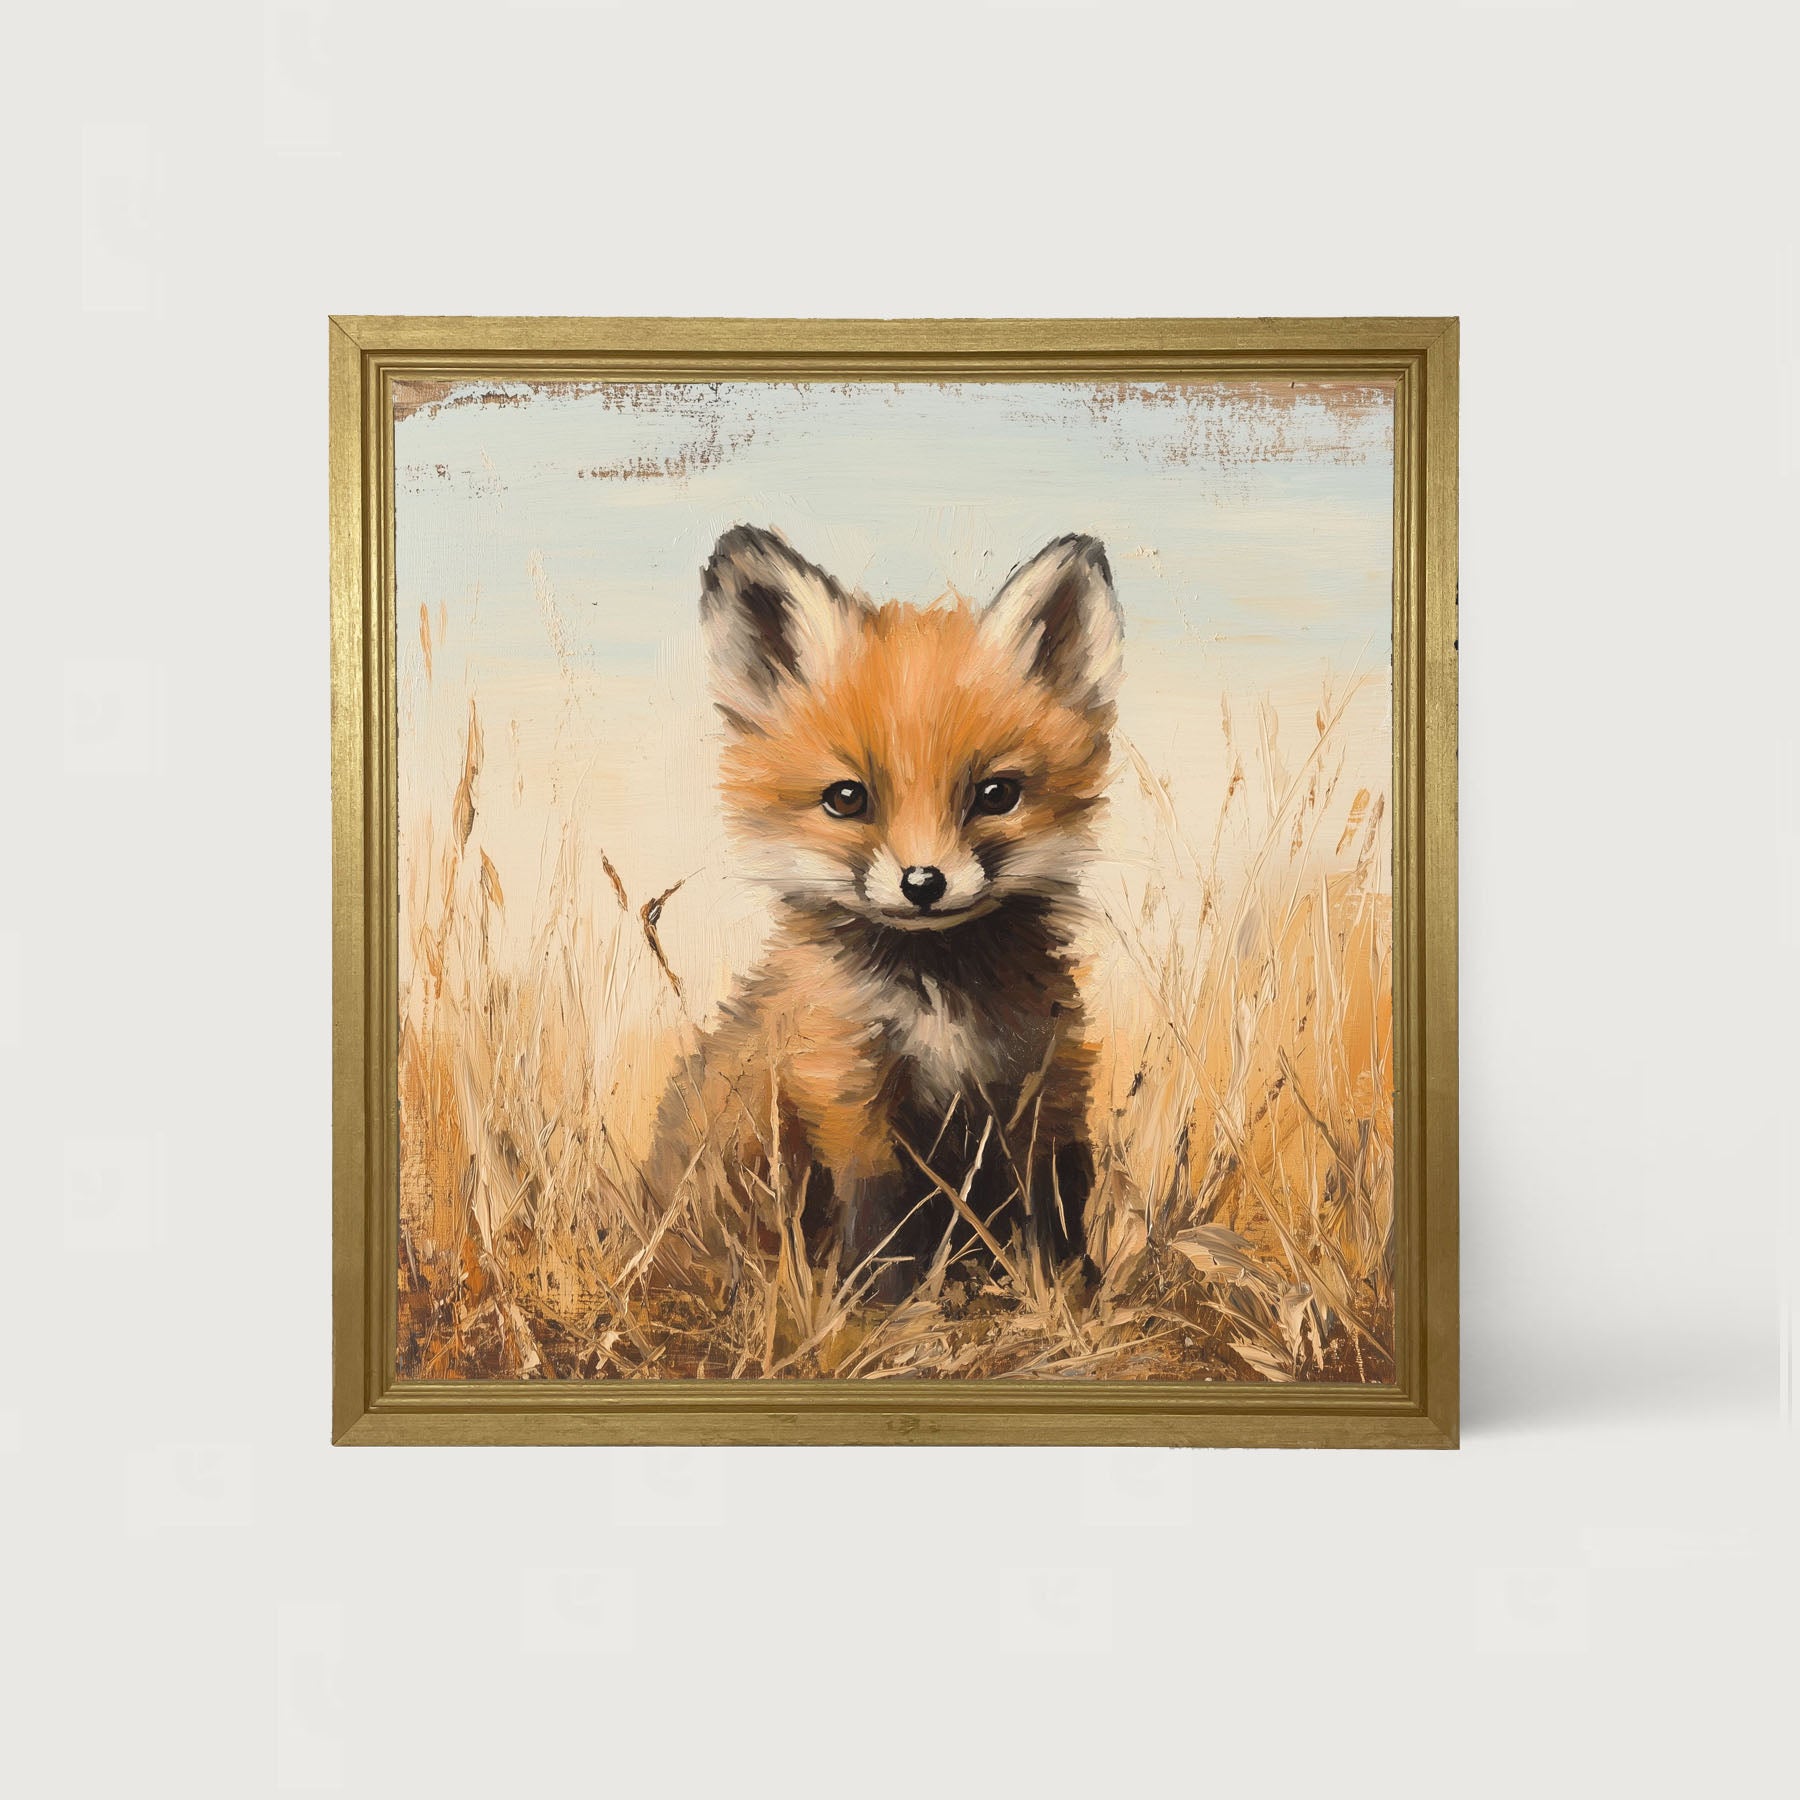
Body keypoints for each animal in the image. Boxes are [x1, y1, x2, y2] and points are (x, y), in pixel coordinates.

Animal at [648, 522, 1123, 1302]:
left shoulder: (1040, 1081)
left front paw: (1065, 1297)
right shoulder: (844, 1090)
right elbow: (882, 1219)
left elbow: (1053, 1209)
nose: (923, 882)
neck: (938, 1001)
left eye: (996, 794)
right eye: (847, 798)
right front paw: (893, 1311)